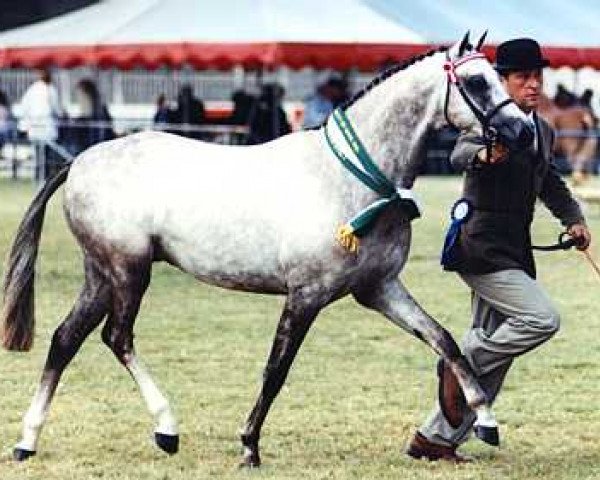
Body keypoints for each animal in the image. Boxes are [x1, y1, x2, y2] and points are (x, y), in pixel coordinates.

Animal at [1, 34, 536, 468]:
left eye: (497, 76)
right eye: (476, 81)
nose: (525, 131)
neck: (351, 179)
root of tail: (79, 162)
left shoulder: (379, 289)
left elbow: (444, 340)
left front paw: (486, 421)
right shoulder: (306, 295)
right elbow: (276, 371)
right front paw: (249, 446)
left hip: (101, 274)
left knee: (65, 339)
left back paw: (28, 441)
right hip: (128, 271)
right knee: (117, 337)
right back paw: (166, 429)